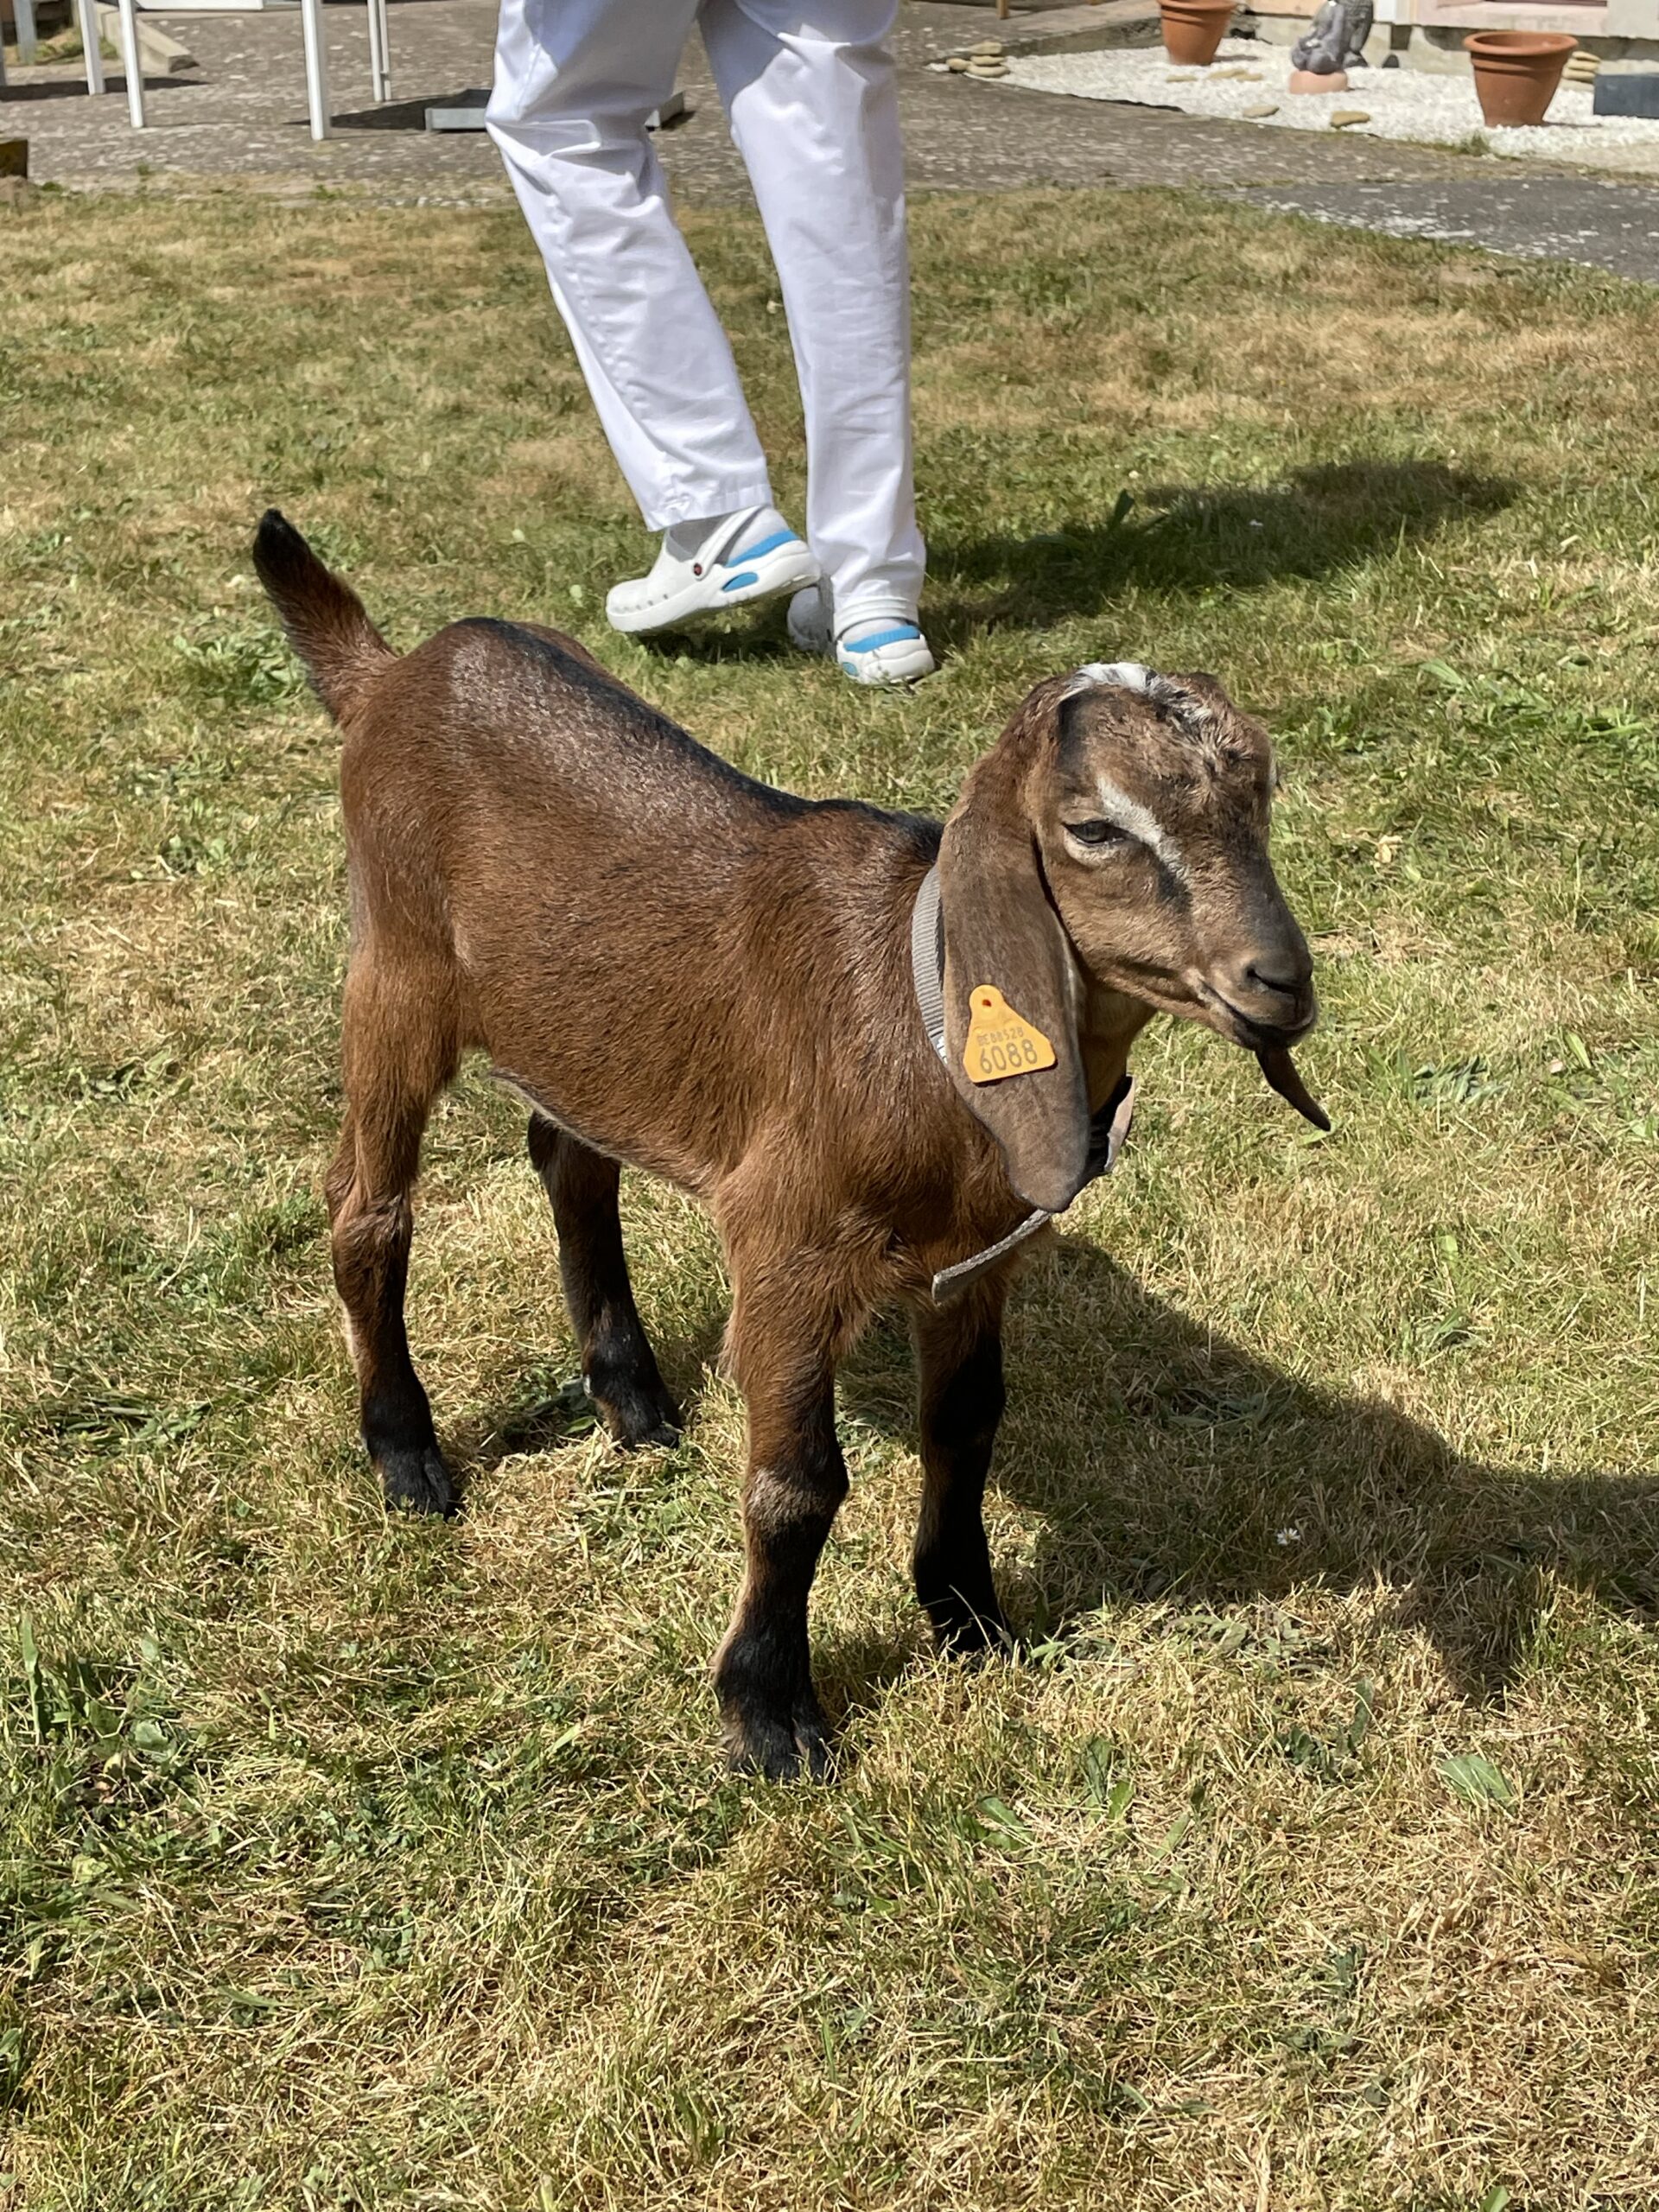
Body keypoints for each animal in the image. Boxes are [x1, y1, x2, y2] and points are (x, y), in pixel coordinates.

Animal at [253, 510, 1325, 1781]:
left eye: (1260, 792)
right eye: (1096, 827)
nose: (1282, 981)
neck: (920, 1015)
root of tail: (392, 674)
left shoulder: (973, 1261)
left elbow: (967, 1422)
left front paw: (969, 1616)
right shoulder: (788, 1250)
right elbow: (796, 1487)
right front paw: (771, 1711)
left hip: (574, 1021)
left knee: (571, 1159)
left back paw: (632, 1399)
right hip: (398, 972)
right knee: (363, 1204)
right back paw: (407, 1458)